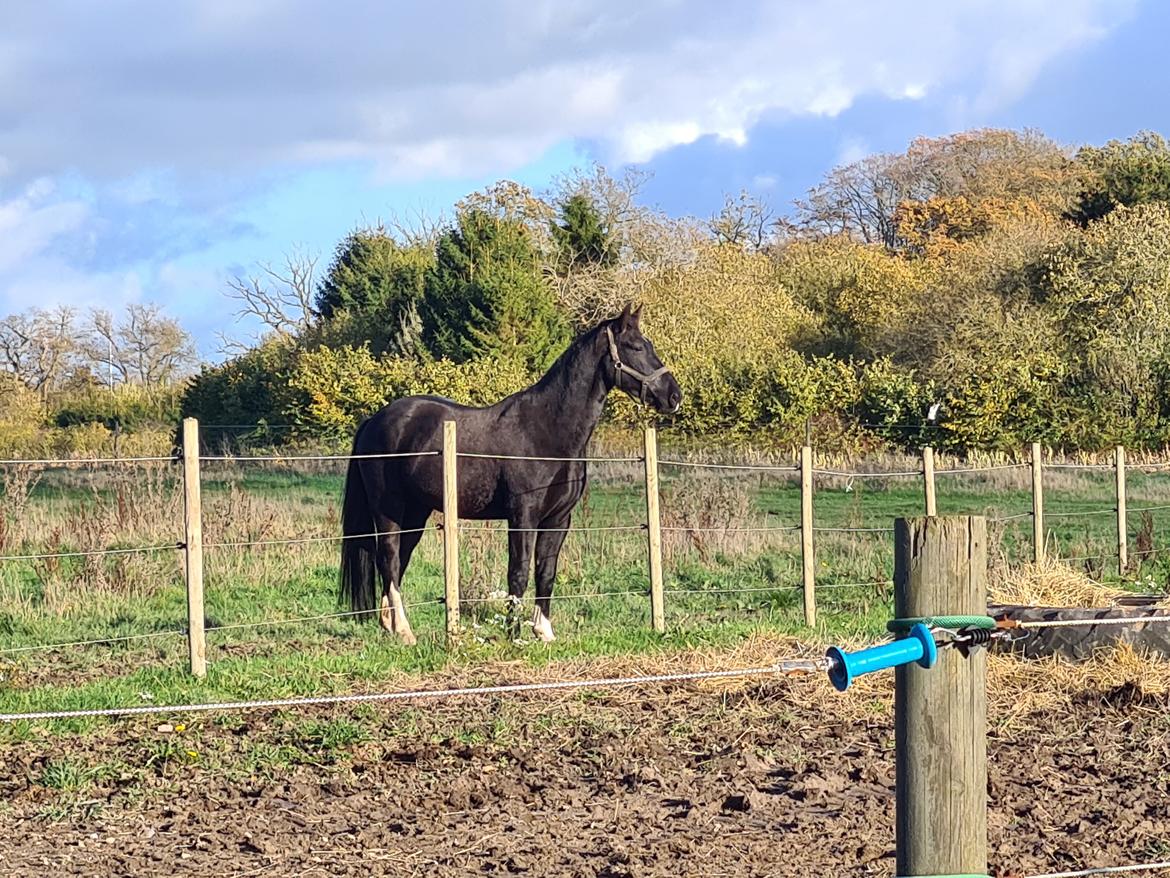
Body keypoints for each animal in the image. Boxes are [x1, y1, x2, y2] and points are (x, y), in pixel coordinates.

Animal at [339, 306, 683, 641]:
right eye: (635, 347)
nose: (673, 397)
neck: (546, 430)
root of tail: (375, 420)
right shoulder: (523, 516)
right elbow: (518, 572)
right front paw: (513, 635)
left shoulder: (558, 519)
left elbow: (546, 572)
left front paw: (544, 632)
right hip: (389, 509)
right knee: (389, 557)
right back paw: (405, 631)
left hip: (415, 512)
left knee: (396, 562)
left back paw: (391, 625)